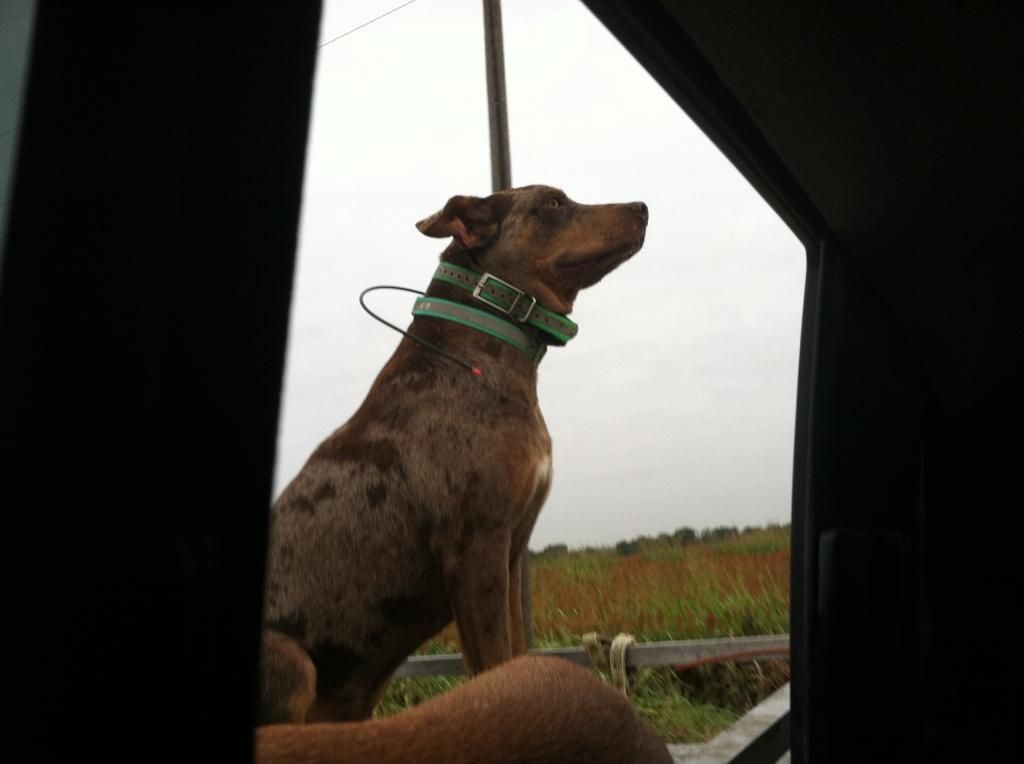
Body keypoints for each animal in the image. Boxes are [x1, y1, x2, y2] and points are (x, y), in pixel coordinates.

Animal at [261, 185, 648, 723]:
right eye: (552, 203)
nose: (643, 208)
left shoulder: (510, 551)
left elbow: (515, 652)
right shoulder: (474, 545)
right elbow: (491, 662)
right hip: (291, 660)